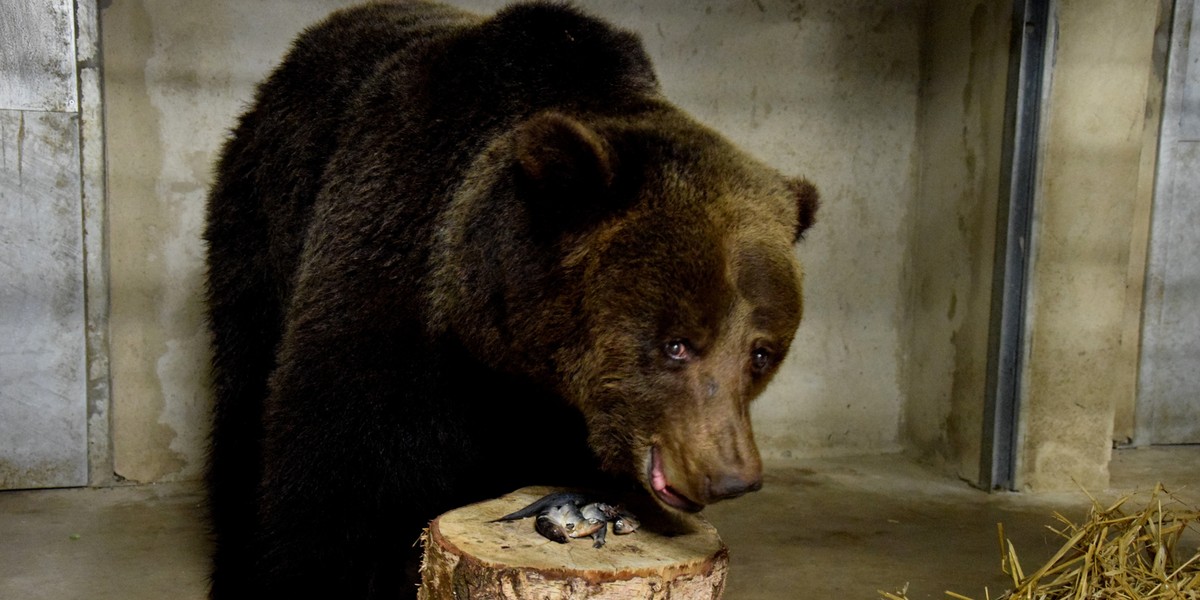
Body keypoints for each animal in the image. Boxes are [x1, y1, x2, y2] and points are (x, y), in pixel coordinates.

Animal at [204, 1, 816, 600]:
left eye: (761, 354)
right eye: (678, 345)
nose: (731, 475)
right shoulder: (391, 271)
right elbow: (340, 473)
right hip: (264, 216)